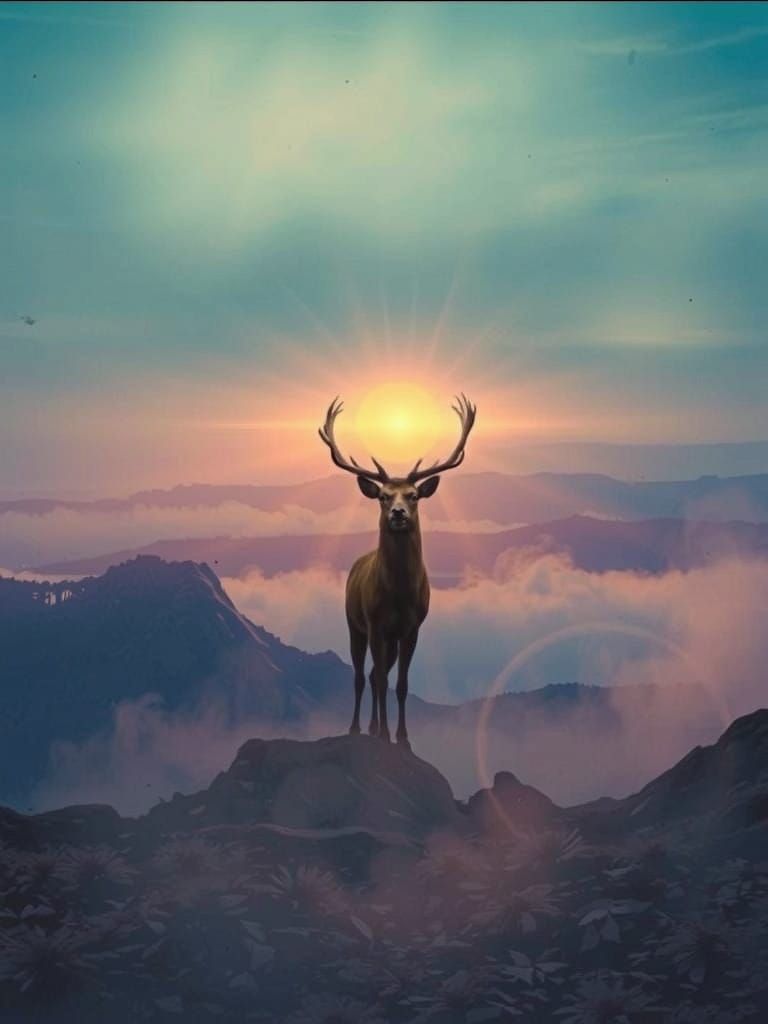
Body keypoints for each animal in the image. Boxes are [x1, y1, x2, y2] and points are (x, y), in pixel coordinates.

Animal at [318, 393, 476, 746]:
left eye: (414, 495)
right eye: (382, 496)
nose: (399, 513)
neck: (399, 595)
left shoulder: (411, 627)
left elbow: (401, 684)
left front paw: (402, 737)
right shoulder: (375, 624)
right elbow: (379, 681)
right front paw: (384, 733)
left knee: (375, 675)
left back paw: (374, 727)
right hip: (354, 623)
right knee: (362, 676)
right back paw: (359, 728)